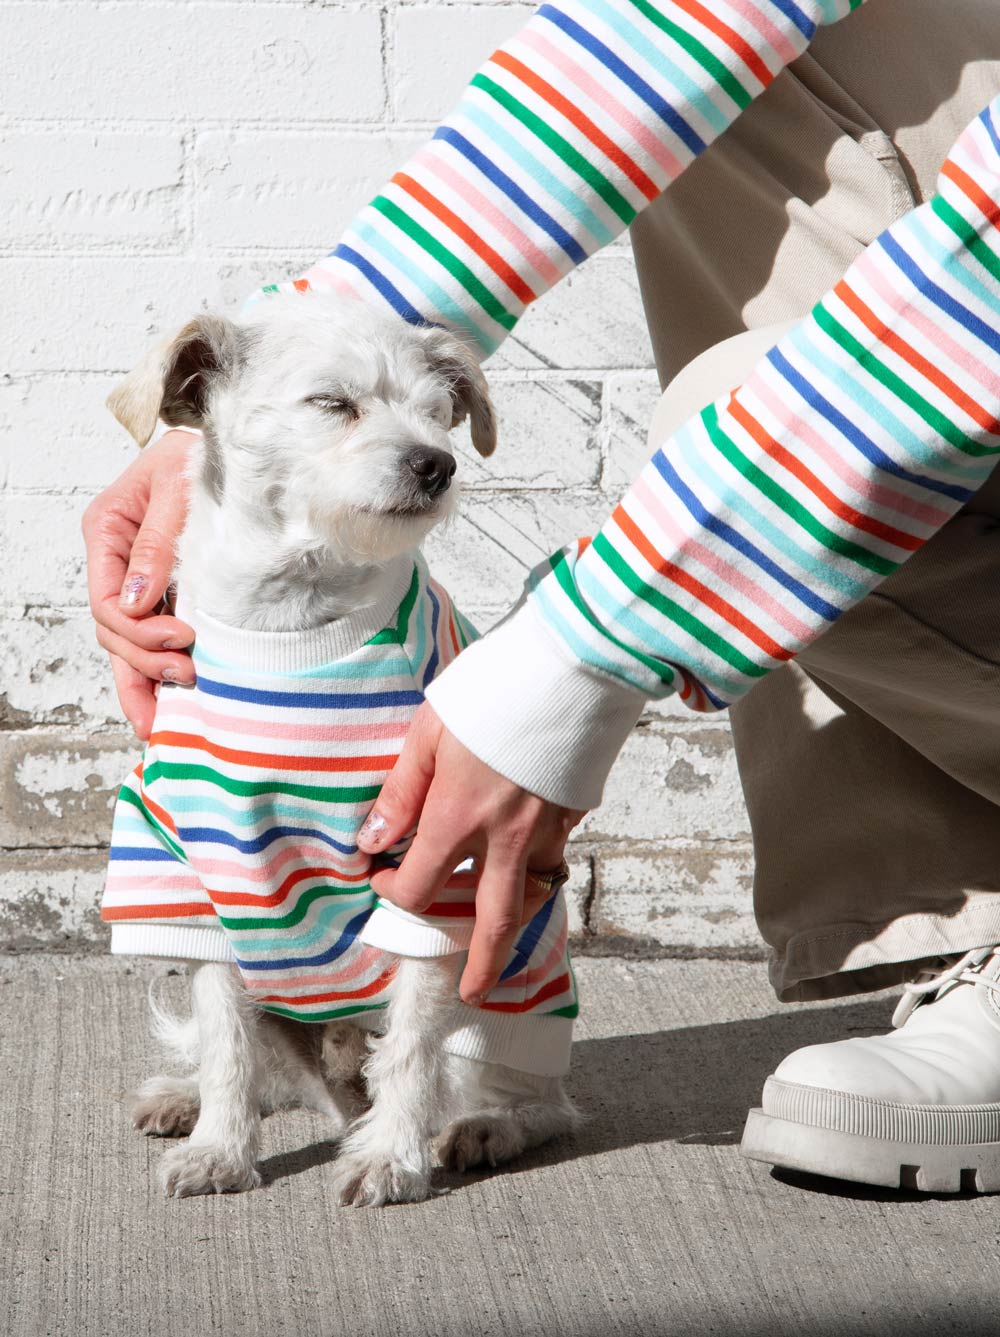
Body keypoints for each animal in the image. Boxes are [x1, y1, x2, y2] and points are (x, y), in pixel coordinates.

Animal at [101, 295, 577, 1213]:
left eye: (438, 411)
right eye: (332, 403)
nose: (436, 464)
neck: (295, 621)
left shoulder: (433, 858)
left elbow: (412, 1043)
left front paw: (391, 1155)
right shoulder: (187, 861)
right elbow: (225, 1035)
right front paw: (220, 1146)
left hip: (502, 1008)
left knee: (534, 1098)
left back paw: (480, 1128)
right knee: (272, 1071)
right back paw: (188, 1097)